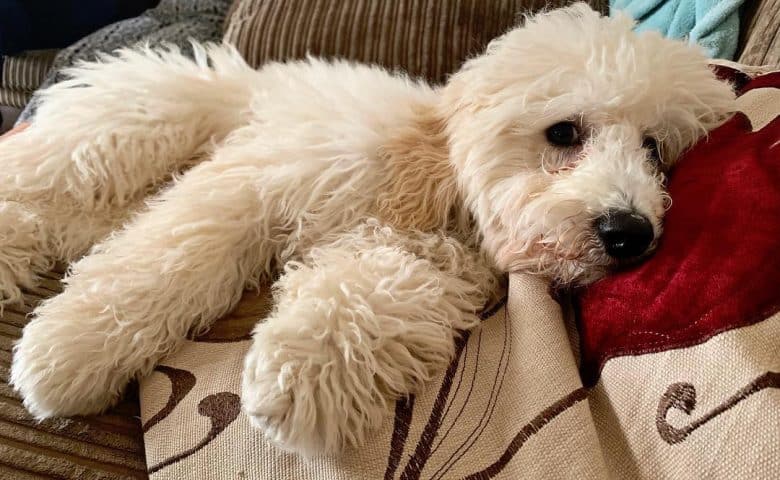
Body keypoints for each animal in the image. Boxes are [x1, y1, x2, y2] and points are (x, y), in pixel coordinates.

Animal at [4, 3, 732, 454]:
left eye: (654, 149)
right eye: (563, 133)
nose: (630, 232)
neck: (436, 185)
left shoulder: (432, 265)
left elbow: (366, 298)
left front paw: (300, 375)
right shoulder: (250, 185)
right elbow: (168, 257)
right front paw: (72, 349)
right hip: (131, 132)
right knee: (43, 183)